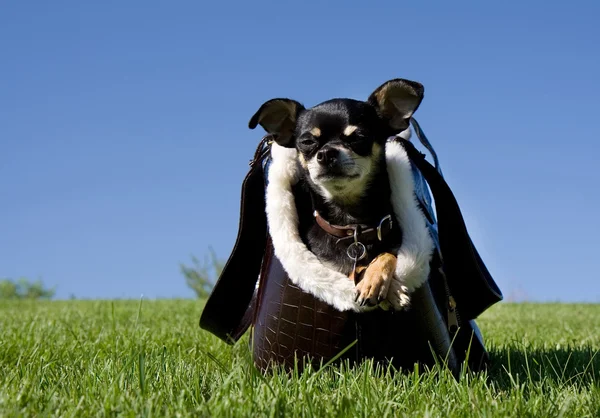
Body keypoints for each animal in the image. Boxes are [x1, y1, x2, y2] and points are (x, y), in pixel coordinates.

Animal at [248, 79, 436, 314]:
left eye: (359, 138)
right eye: (307, 142)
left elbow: (386, 255)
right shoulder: (331, 269)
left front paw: (382, 285)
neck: (350, 224)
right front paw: (380, 285)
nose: (327, 153)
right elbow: (352, 273)